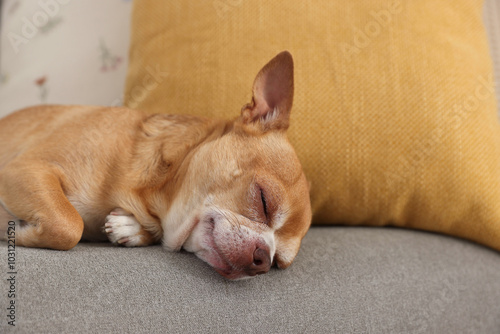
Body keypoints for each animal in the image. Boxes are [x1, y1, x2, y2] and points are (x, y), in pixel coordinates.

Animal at [0, 51, 310, 280]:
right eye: (263, 200)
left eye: (277, 263)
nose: (262, 260)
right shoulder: (24, 169)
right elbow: (69, 224)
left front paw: (129, 228)